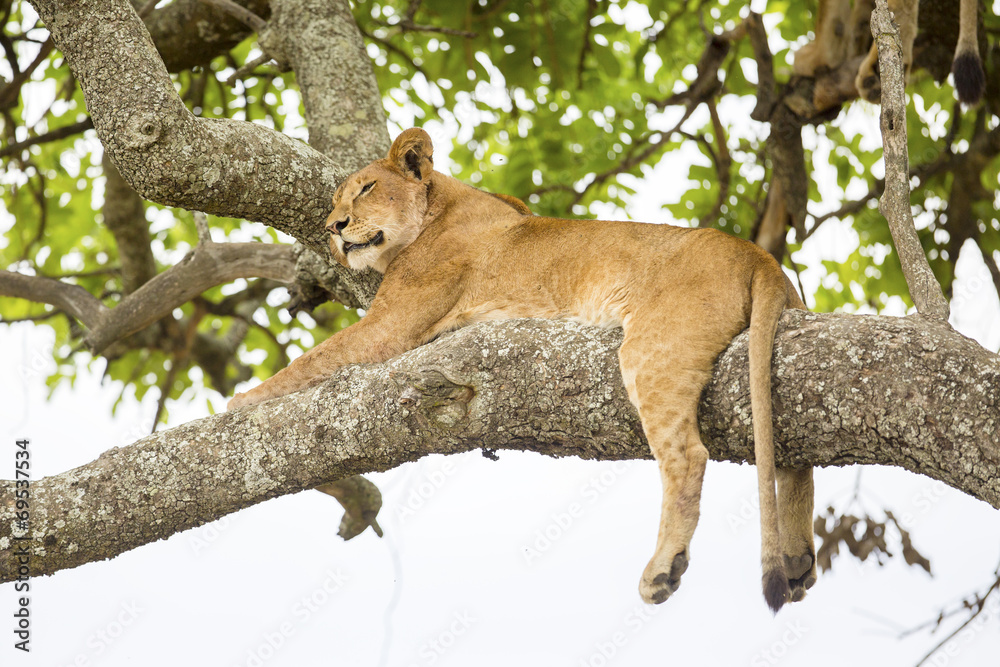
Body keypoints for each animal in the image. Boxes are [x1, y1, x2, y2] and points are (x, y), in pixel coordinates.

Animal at [228, 128, 817, 612]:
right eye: (334, 202)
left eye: (367, 189)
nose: (333, 227)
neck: (439, 204)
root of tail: (759, 255)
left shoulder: (391, 325)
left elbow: (312, 358)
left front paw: (239, 403)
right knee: (792, 456)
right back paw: (797, 564)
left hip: (654, 347)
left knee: (688, 455)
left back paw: (663, 569)